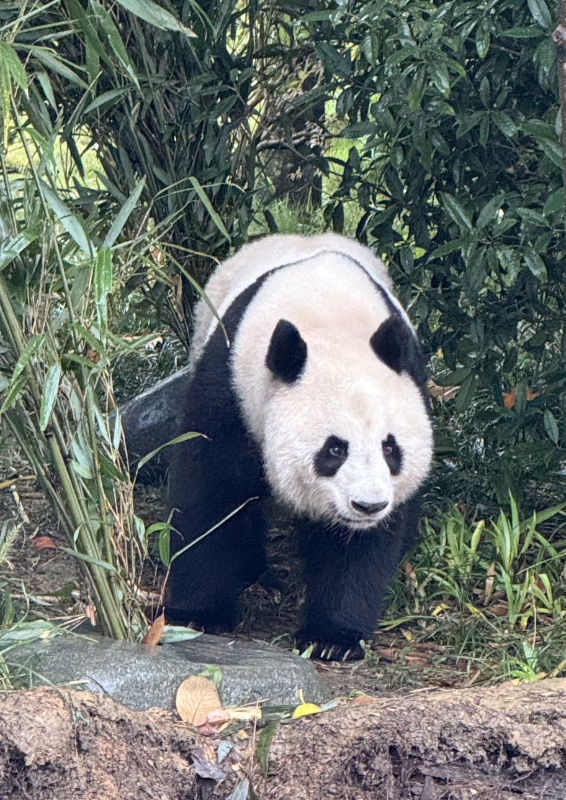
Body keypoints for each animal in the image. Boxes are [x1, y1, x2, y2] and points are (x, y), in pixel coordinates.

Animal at [166, 233, 433, 661]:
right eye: (334, 449)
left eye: (391, 448)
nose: (369, 505)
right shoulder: (231, 389)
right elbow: (210, 493)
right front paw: (198, 614)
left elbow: (357, 546)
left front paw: (333, 637)